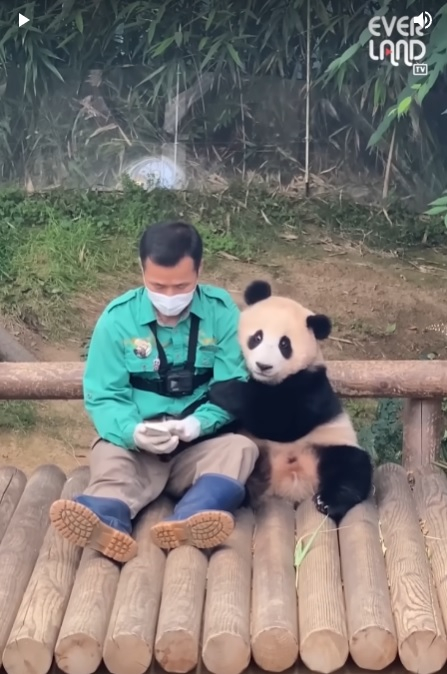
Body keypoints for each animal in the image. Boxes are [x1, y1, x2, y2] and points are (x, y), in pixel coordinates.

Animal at [210, 278, 374, 520]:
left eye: (284, 345)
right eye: (257, 337)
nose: (263, 366)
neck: (269, 382)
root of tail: (291, 486)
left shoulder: (313, 385)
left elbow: (283, 422)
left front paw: (221, 390)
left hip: (328, 444)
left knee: (352, 466)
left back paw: (328, 501)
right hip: (259, 451)